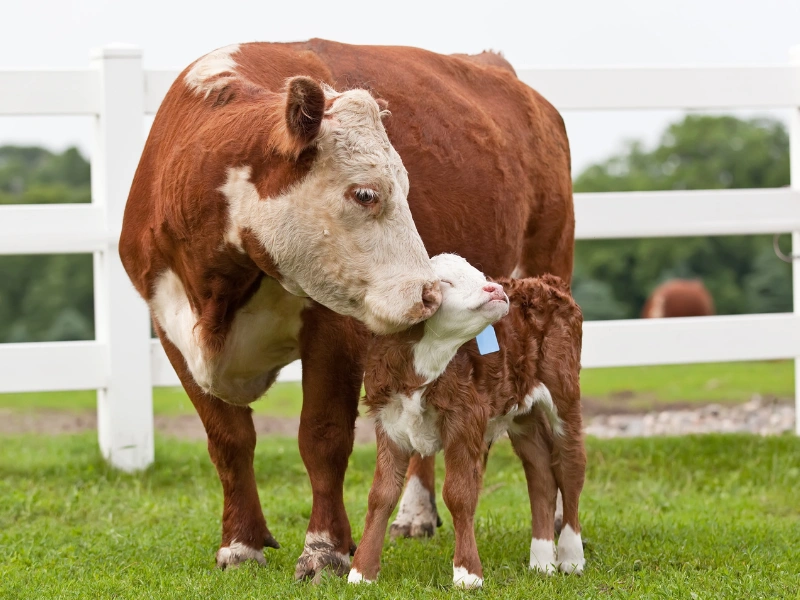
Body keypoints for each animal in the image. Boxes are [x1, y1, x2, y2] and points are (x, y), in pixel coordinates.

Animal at [350, 254, 585, 587]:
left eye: (481, 275)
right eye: (444, 282)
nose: (496, 288)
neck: (423, 367)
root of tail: (544, 281)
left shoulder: (464, 420)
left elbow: (459, 494)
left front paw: (467, 574)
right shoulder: (389, 422)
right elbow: (381, 495)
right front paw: (361, 572)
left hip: (563, 393)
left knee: (571, 466)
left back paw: (570, 557)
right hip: (522, 412)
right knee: (540, 472)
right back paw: (541, 561)